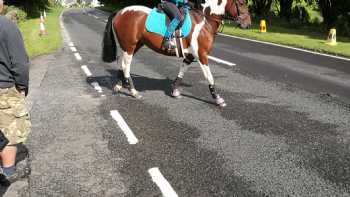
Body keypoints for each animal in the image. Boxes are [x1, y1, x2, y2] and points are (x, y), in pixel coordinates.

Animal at [102, 0, 252, 107]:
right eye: (241, 3)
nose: (248, 24)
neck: (205, 21)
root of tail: (121, 11)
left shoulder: (190, 56)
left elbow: (181, 72)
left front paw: (174, 91)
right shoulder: (202, 55)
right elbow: (209, 77)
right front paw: (218, 99)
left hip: (133, 46)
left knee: (121, 63)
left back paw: (119, 85)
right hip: (130, 46)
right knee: (126, 66)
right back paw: (133, 91)